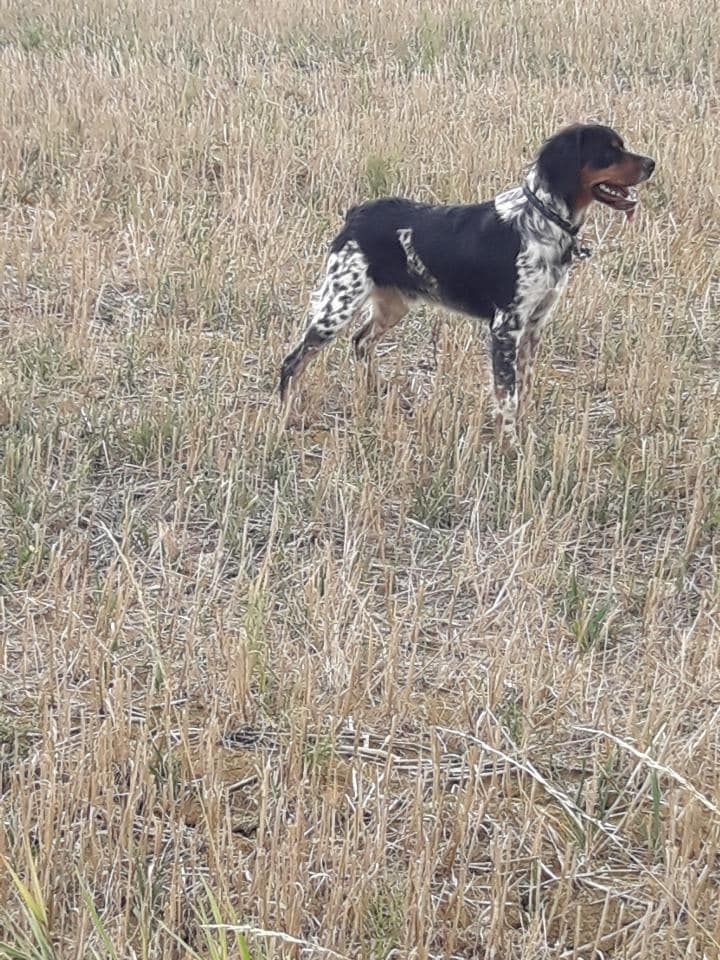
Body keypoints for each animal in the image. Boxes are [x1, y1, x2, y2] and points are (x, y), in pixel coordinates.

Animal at [278, 122, 656, 444]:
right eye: (609, 151)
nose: (651, 163)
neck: (544, 221)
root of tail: (357, 213)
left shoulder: (534, 326)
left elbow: (523, 389)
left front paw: (523, 435)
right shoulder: (506, 327)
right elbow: (507, 395)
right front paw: (510, 447)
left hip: (393, 305)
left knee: (361, 341)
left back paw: (377, 395)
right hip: (338, 306)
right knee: (294, 360)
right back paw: (286, 416)